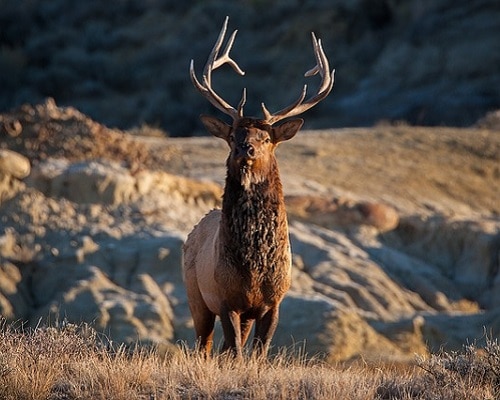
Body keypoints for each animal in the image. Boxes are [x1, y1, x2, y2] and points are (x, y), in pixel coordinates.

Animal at [182, 17, 334, 358]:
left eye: (266, 138)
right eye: (232, 135)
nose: (245, 148)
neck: (254, 267)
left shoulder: (273, 302)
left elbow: (258, 354)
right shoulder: (226, 298)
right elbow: (237, 352)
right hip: (196, 295)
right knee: (205, 345)